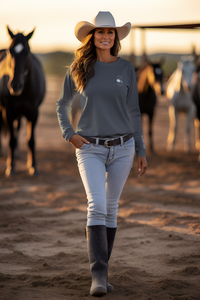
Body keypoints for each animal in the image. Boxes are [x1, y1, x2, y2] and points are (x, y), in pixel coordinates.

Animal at [0, 27, 45, 177]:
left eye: (27, 51)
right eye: (10, 51)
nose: (15, 85)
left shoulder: (34, 113)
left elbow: (31, 141)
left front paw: (33, 167)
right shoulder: (8, 112)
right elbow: (11, 140)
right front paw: (10, 166)